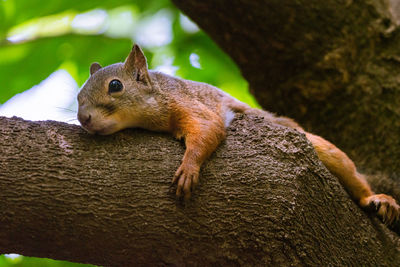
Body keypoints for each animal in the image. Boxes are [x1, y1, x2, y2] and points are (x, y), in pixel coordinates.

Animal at [76, 44, 398, 226]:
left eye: (115, 86)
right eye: (78, 96)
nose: (84, 119)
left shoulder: (188, 105)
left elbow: (208, 130)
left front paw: (188, 169)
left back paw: (377, 200)